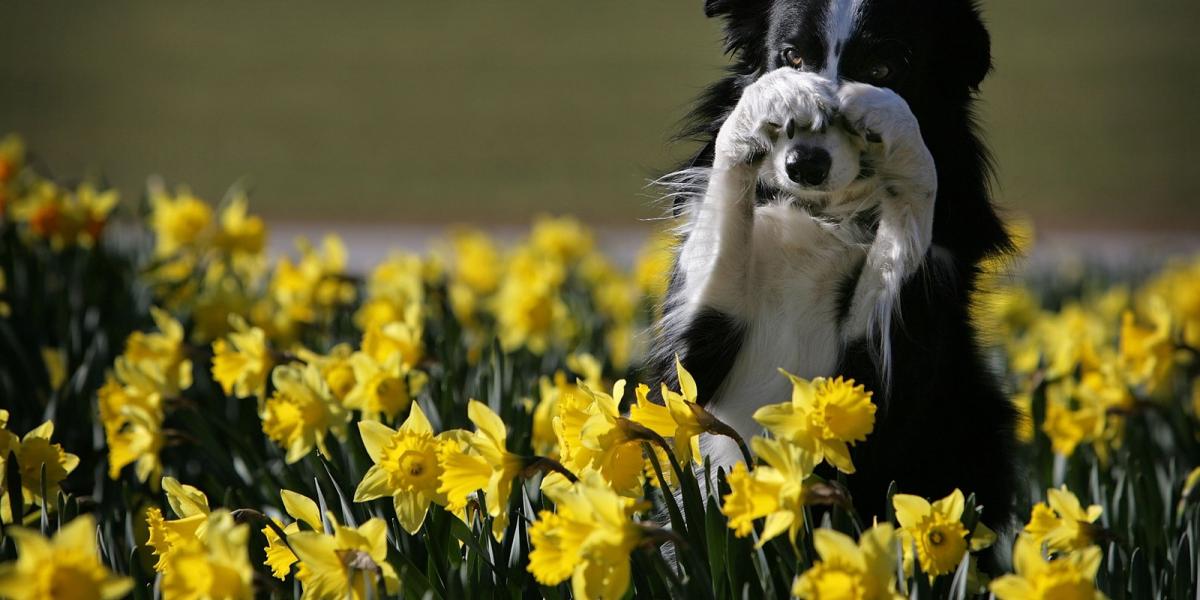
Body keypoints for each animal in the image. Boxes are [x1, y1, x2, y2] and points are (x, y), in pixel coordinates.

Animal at [652, 0, 1017, 530]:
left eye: (883, 68)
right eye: (792, 56)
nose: (805, 165)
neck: (823, 213)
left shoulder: (886, 375)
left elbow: (912, 210)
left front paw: (888, 116)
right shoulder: (700, 349)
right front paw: (772, 98)